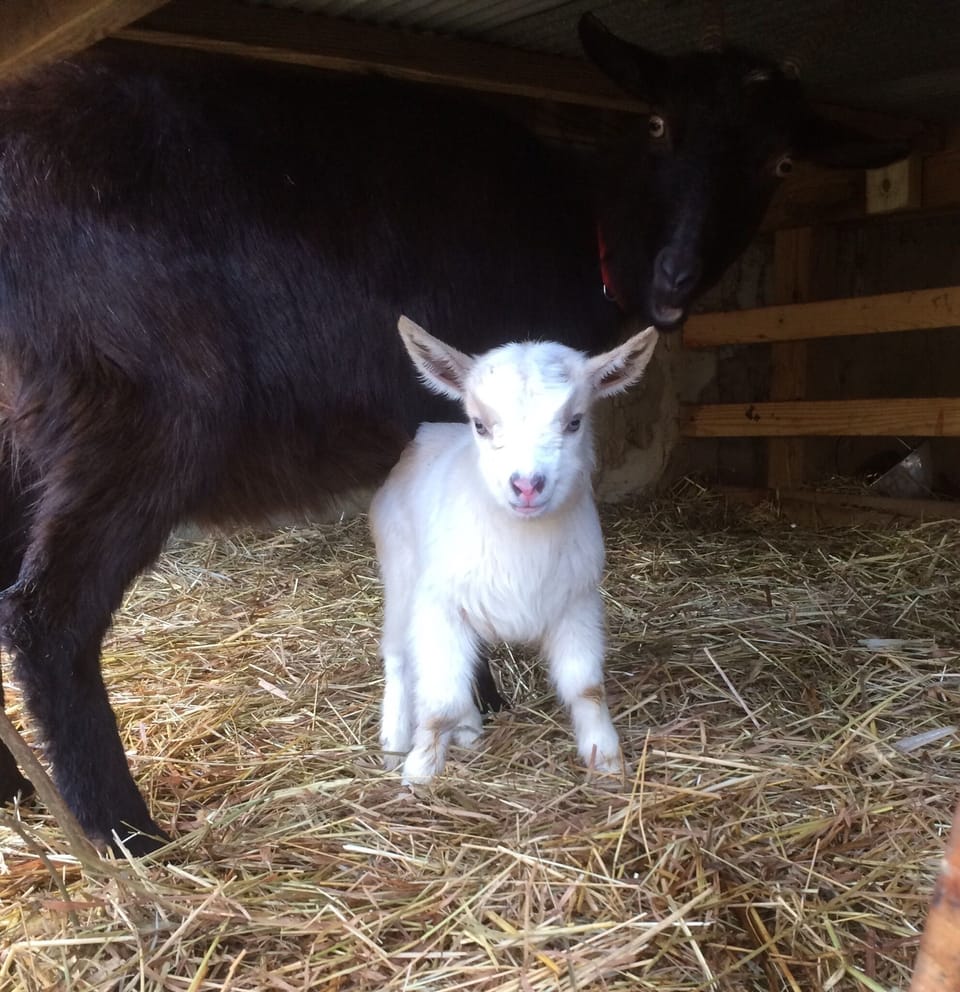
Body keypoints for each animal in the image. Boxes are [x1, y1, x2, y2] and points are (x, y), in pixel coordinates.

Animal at [371, 316, 657, 784]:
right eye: (481, 425)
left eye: (574, 422)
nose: (526, 485)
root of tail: (426, 434)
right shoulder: (438, 605)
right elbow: (440, 701)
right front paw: (419, 772)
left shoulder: (577, 602)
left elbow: (586, 687)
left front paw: (607, 760)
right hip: (400, 573)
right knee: (398, 657)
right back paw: (395, 743)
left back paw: (468, 730)